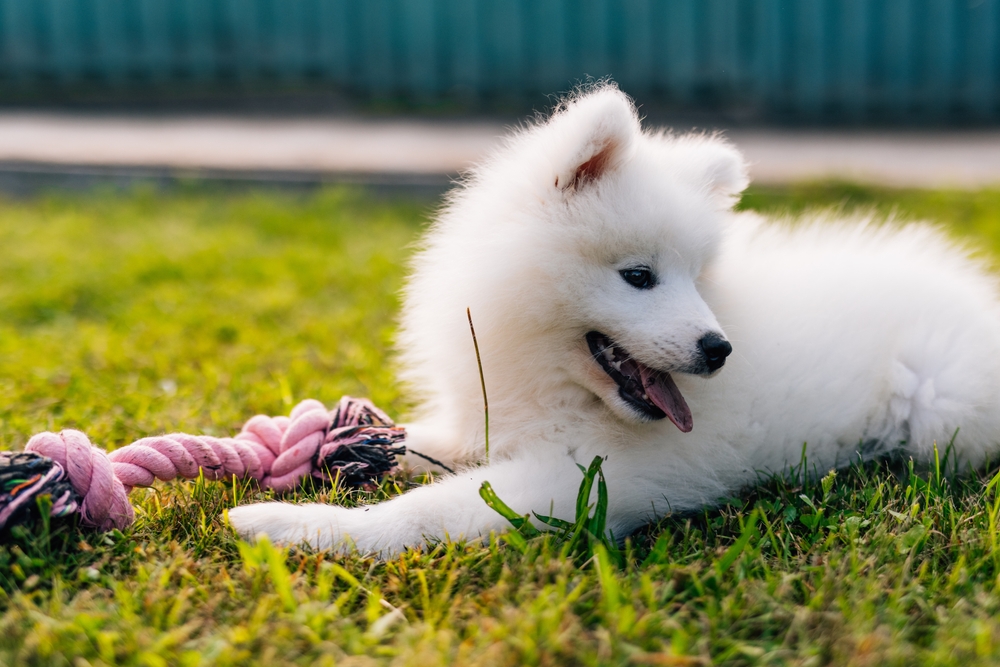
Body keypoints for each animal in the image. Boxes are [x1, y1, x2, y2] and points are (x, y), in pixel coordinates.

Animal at [229, 83, 1000, 552]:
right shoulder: (495, 425)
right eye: (639, 277)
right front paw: (328, 451)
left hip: (945, 415)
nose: (719, 348)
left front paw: (292, 524)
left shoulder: (593, 480)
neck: (555, 388)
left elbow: (427, 508)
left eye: (697, 278)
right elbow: (419, 444)